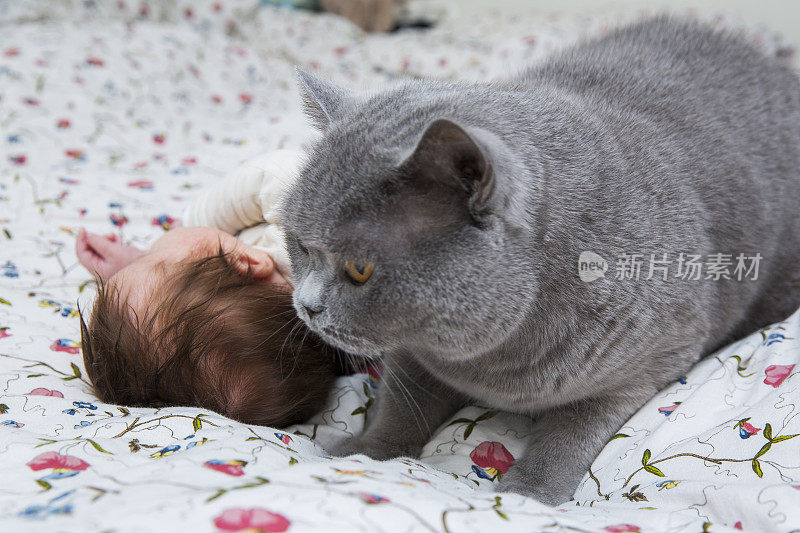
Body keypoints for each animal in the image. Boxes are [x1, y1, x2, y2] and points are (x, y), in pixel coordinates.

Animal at [280, 16, 800, 502]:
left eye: (359, 269)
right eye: (300, 245)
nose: (307, 306)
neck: (493, 364)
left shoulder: (651, 359)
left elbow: (573, 428)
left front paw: (528, 492)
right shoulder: (419, 355)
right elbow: (402, 404)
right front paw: (364, 450)